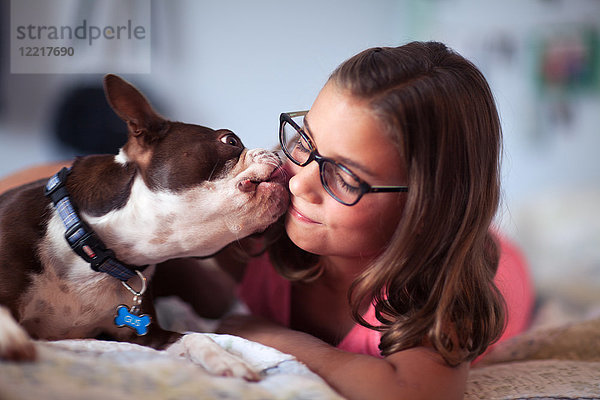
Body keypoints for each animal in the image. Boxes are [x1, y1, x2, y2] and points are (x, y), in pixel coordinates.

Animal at [0, 73, 288, 380]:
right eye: (230, 140)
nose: (279, 153)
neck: (98, 252)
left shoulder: (146, 337)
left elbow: (195, 336)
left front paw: (226, 359)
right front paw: (9, 336)